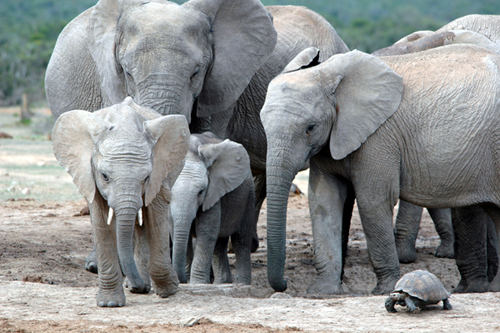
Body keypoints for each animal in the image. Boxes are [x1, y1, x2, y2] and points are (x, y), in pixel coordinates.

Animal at [52, 96, 189, 306]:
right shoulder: (90, 176)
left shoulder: (159, 172)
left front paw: (169, 290)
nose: (139, 286)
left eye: (145, 178)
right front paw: (110, 304)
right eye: (105, 176)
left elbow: (156, 217)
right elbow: (102, 222)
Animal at [172, 131, 258, 284]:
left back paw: (242, 284)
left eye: (201, 192)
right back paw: (222, 283)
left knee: (241, 240)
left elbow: (206, 231)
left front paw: (197, 284)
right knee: (219, 244)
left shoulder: (213, 192)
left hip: (248, 195)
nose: (181, 280)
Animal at [260, 44, 500, 294]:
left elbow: (373, 201)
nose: (285, 284)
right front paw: (322, 292)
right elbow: (323, 201)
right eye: (263, 124)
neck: (327, 74)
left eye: (310, 127)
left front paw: (383, 290)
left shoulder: (379, 138)